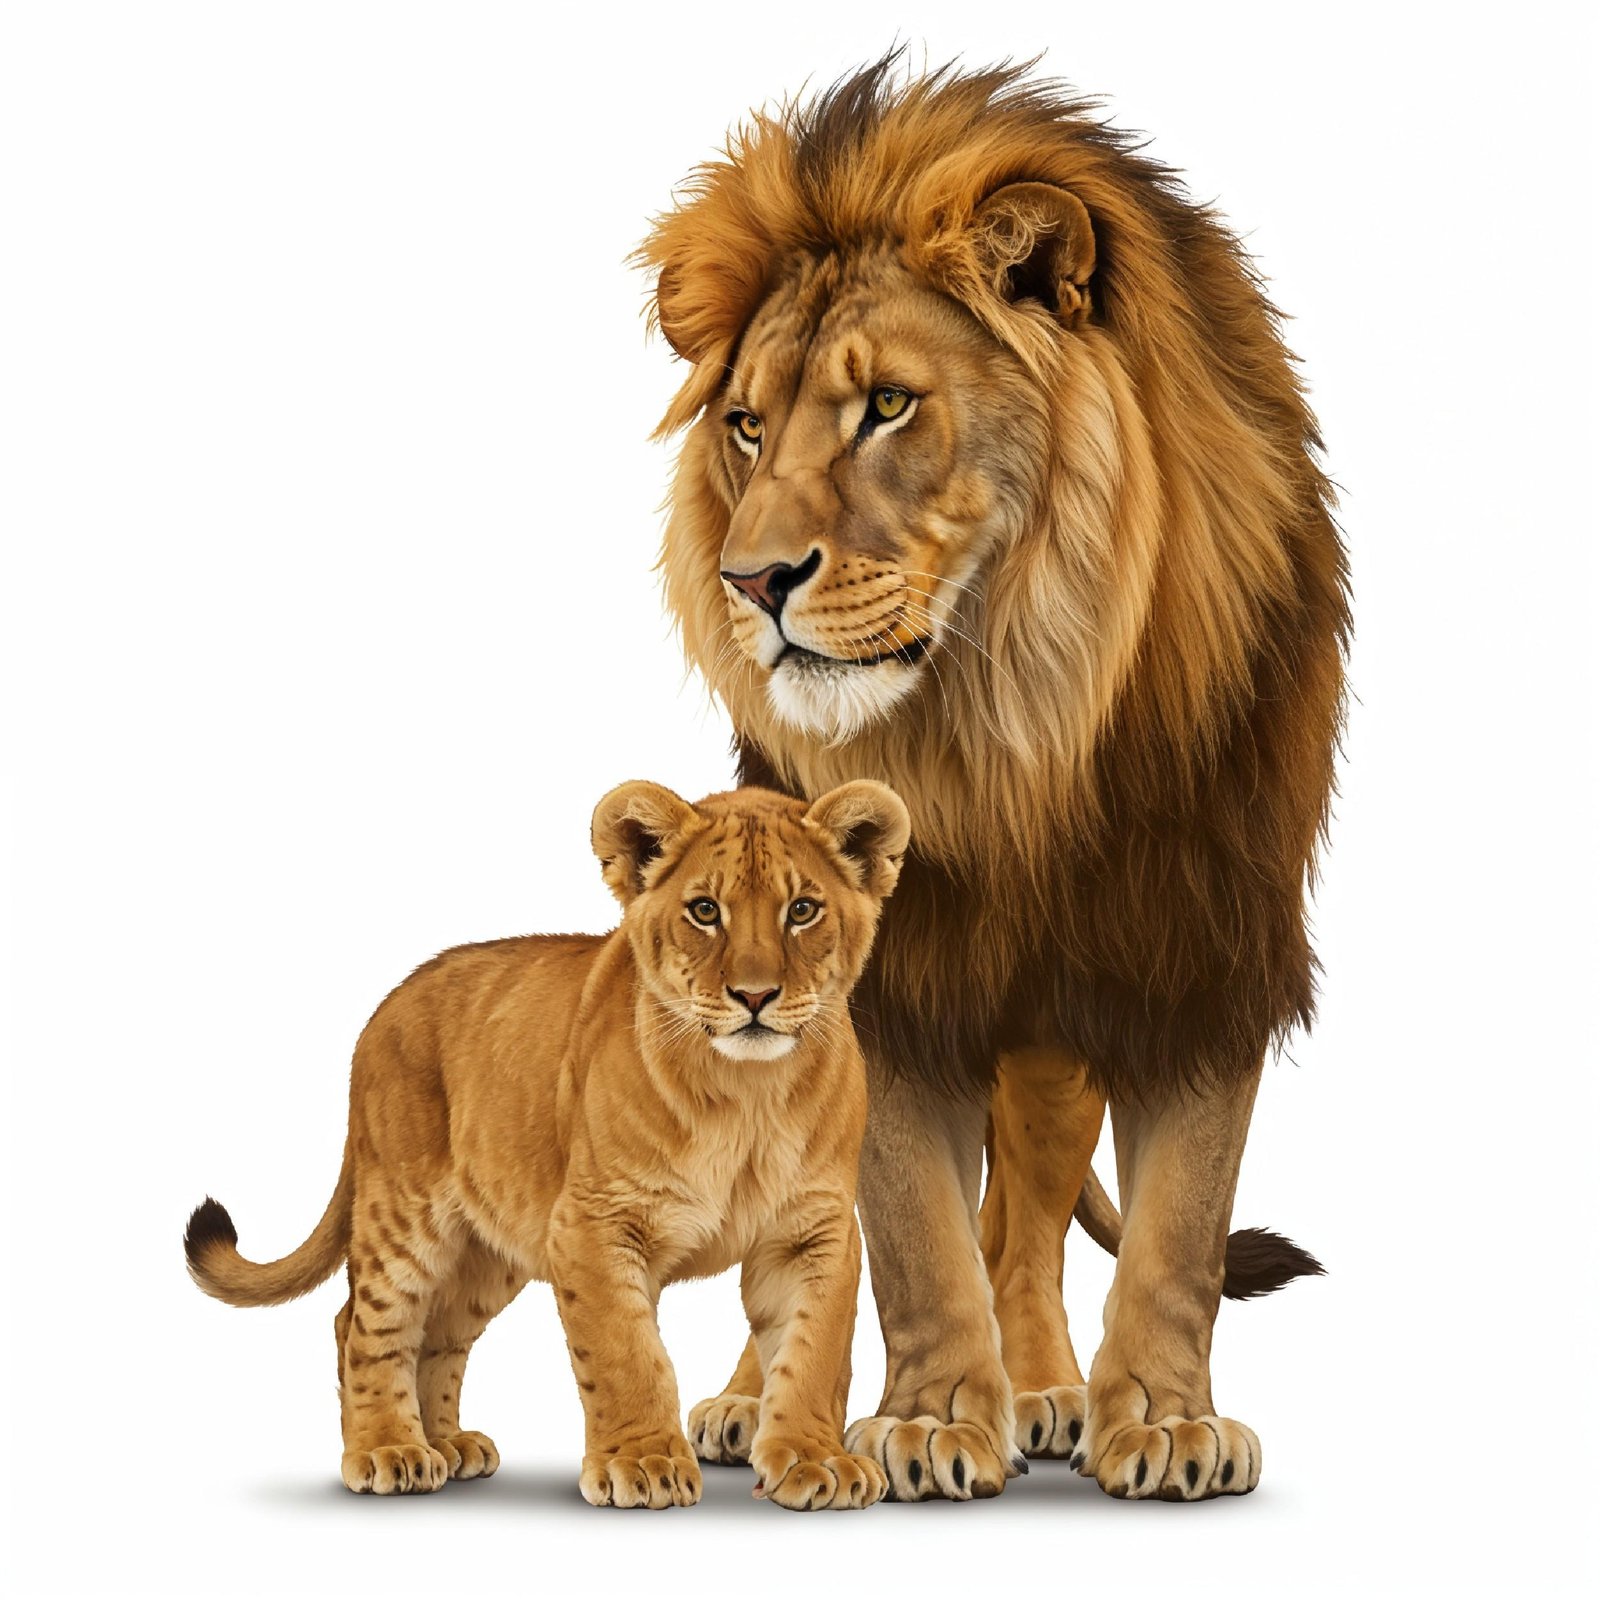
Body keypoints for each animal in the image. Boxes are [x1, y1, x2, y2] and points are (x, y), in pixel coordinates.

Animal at [185, 778, 910, 1510]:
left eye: (803, 910)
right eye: (705, 911)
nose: (755, 996)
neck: (747, 1095)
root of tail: (388, 1005)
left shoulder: (814, 1229)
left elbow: (813, 1350)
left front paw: (816, 1460)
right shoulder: (593, 1223)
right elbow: (626, 1353)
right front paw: (643, 1463)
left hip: (488, 1250)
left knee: (438, 1331)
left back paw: (447, 1444)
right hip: (403, 1209)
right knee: (365, 1322)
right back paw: (389, 1449)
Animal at [641, 58, 1348, 1502]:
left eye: (887, 405)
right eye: (745, 426)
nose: (750, 580)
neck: (1017, 732)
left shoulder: (1198, 946)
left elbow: (1181, 1224)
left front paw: (1164, 1420)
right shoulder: (892, 982)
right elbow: (909, 1228)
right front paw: (925, 1419)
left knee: (1024, 1215)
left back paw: (1049, 1391)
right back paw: (749, 1402)